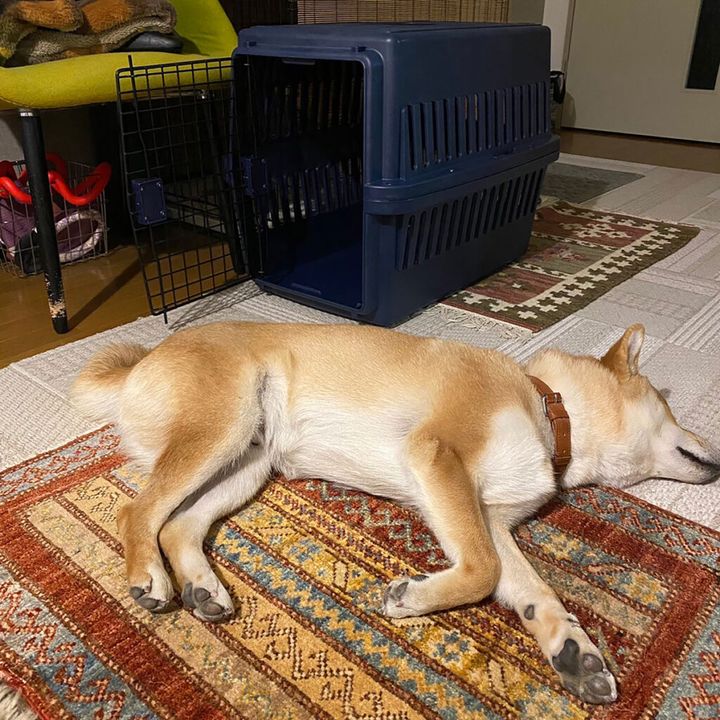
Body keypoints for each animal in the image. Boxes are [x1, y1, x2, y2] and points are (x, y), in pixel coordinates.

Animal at [71, 321, 720, 705]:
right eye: (667, 406)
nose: (715, 449)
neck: (547, 408)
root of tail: (145, 359)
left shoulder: (490, 519)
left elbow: (535, 592)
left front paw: (575, 651)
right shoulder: (440, 457)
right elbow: (481, 571)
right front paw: (411, 598)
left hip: (248, 462)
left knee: (179, 525)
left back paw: (204, 589)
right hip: (221, 425)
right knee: (136, 511)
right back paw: (148, 576)